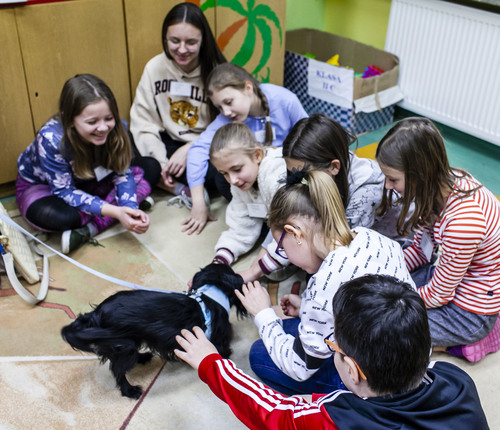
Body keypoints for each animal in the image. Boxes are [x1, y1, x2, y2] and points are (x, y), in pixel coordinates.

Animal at [61, 262, 247, 400]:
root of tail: (96, 313)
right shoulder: (220, 335)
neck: (211, 293)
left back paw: (143, 357)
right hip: (124, 347)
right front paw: (226, 356)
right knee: (117, 371)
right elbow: (221, 348)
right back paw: (130, 391)